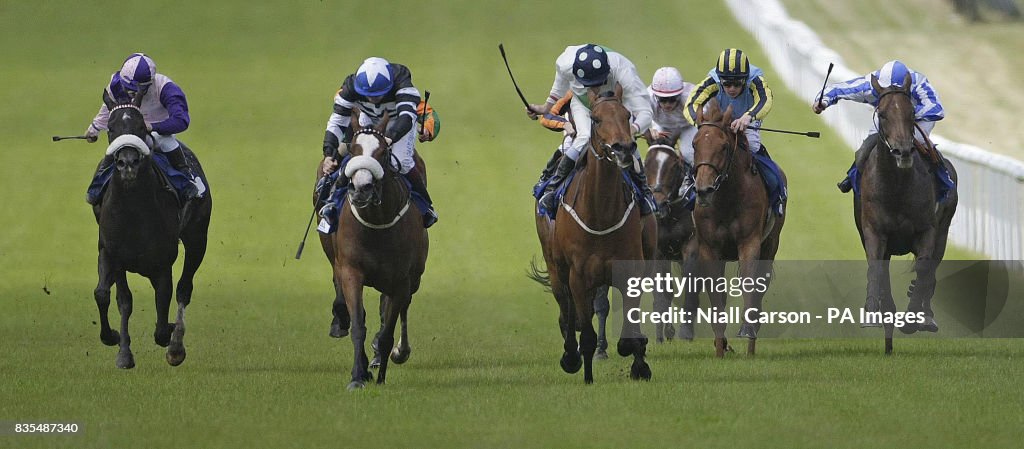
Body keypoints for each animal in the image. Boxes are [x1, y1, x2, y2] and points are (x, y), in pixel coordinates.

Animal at [331, 108, 428, 389]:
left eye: (383, 152)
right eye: (353, 149)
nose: (361, 188)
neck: (376, 224)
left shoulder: (401, 280)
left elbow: (387, 330)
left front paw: (381, 374)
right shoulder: (351, 270)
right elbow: (358, 325)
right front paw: (357, 376)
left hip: (413, 279)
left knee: (401, 309)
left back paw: (399, 352)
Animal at [536, 84, 655, 381]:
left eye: (627, 115)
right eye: (597, 119)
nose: (624, 148)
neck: (601, 212)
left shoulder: (630, 269)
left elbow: (630, 326)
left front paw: (639, 364)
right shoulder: (579, 275)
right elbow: (585, 333)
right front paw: (586, 374)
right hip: (557, 269)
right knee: (566, 311)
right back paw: (570, 355)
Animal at [643, 143, 700, 340]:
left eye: (674, 166)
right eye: (646, 164)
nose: (659, 204)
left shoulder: (691, 246)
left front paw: (686, 332)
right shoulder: (659, 253)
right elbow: (665, 293)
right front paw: (664, 333)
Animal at [692, 101, 786, 358]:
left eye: (724, 147)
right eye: (694, 144)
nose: (703, 190)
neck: (726, 198)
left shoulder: (749, 242)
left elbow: (750, 285)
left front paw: (746, 330)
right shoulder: (709, 248)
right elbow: (716, 293)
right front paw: (719, 346)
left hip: (770, 246)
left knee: (760, 289)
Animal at [856, 73, 958, 354]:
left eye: (912, 112)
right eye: (882, 114)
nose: (902, 151)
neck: (897, 186)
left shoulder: (927, 231)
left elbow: (923, 269)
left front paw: (914, 318)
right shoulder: (874, 232)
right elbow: (876, 269)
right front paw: (872, 311)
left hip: (943, 233)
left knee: (931, 271)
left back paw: (926, 315)